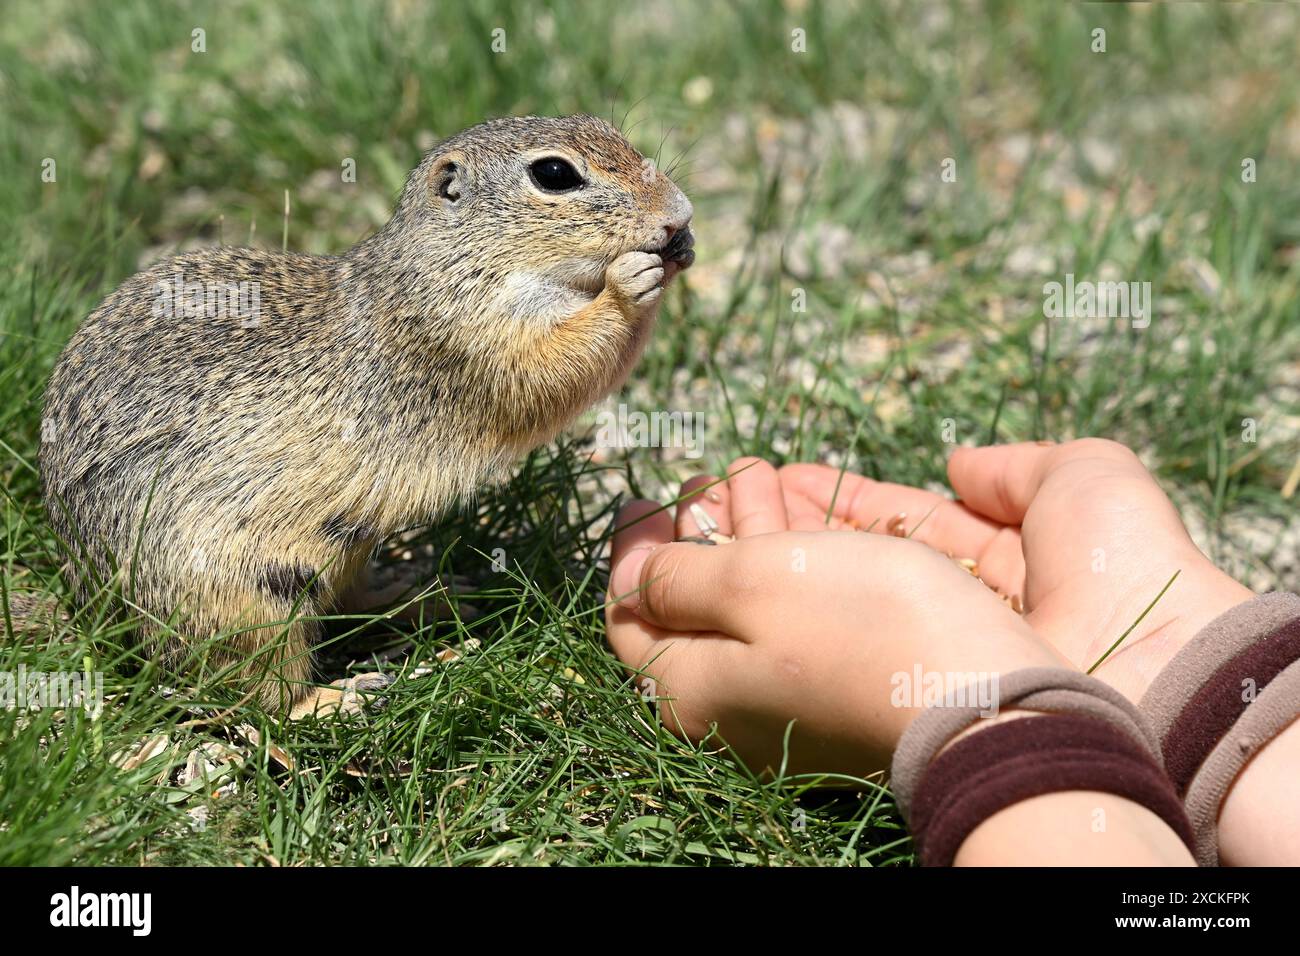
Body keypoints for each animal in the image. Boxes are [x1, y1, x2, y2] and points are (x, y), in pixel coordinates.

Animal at [40, 111, 696, 712]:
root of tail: (92, 605)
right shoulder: (469, 340)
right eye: (555, 174)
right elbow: (553, 367)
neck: (455, 261)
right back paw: (339, 697)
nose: (681, 214)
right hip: (244, 596)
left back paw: (422, 593)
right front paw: (630, 283)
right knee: (258, 694)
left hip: (345, 547)